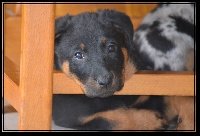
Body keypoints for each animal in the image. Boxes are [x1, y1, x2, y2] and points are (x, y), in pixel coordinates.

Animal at [52, 3, 195, 131]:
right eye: (78, 55)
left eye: (111, 47)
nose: (105, 81)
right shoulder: (70, 112)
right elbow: (112, 117)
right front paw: (150, 121)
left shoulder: (151, 92)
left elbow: (181, 97)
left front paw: (188, 122)